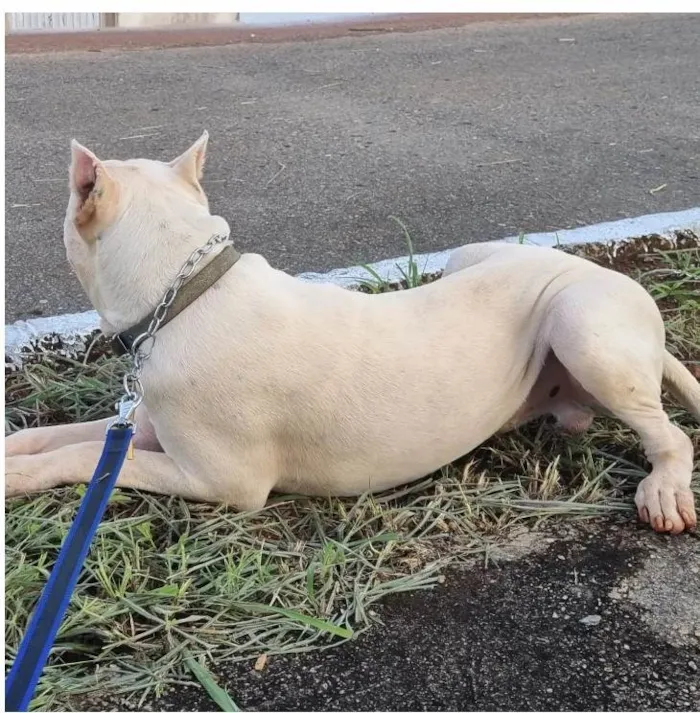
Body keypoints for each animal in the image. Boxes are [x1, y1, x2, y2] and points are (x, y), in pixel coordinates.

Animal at [5, 134, 700, 536]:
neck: (185, 289)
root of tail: (604, 274)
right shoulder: (147, 430)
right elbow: (59, 438)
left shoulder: (220, 481)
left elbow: (82, 459)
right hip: (476, 262)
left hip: (583, 325)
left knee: (669, 435)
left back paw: (665, 490)